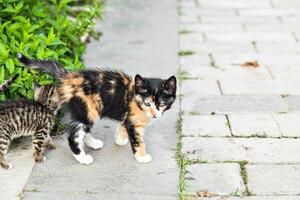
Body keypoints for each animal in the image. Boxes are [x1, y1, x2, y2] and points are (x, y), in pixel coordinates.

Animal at [17, 52, 177, 164]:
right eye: (147, 104)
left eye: (161, 104)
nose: (155, 114)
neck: (134, 96)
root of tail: (69, 77)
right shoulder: (134, 122)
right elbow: (137, 140)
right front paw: (142, 156)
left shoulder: (128, 116)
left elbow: (123, 124)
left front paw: (120, 139)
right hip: (86, 109)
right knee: (73, 137)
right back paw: (83, 158)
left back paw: (93, 143)